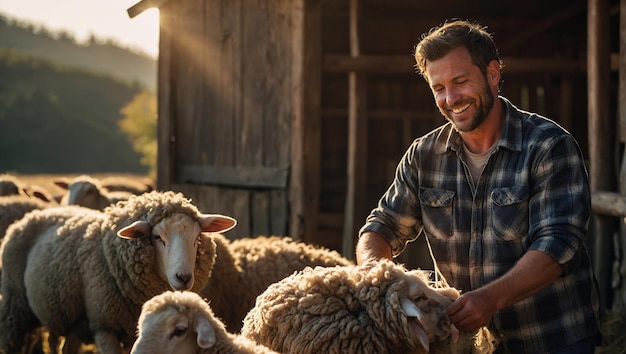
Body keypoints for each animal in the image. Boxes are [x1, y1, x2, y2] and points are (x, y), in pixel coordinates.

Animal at [0, 191, 236, 354]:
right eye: (157, 237)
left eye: (197, 238)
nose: (184, 277)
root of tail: (37, 212)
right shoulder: (105, 327)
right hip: (16, 304)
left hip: (72, 322)